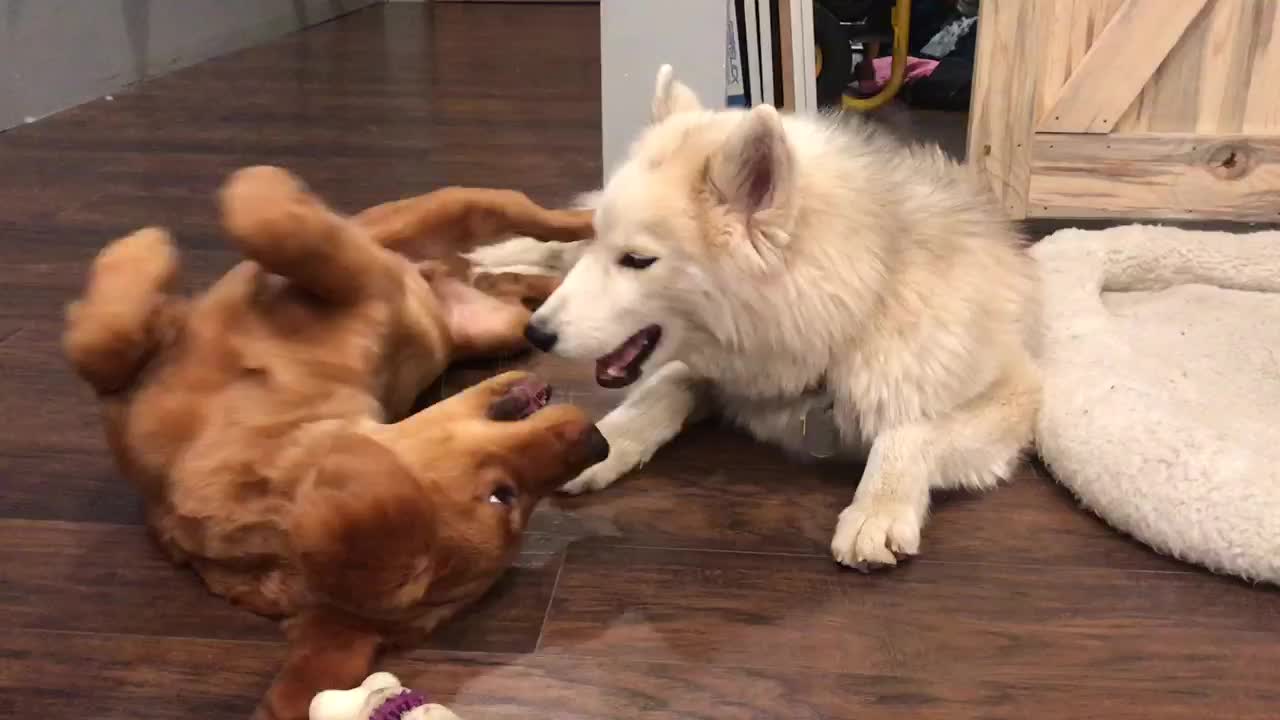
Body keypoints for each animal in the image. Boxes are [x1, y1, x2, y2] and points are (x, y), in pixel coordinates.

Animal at [473, 64, 1039, 568]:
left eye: (637, 260)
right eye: (606, 246)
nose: (536, 333)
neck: (859, 303)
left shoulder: (1012, 395)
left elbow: (909, 431)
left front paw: (877, 508)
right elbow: (659, 392)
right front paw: (603, 443)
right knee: (550, 248)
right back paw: (485, 263)